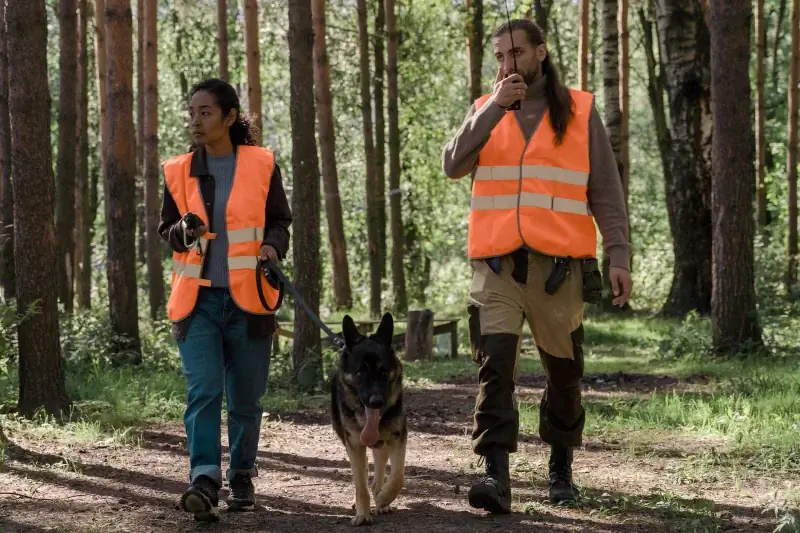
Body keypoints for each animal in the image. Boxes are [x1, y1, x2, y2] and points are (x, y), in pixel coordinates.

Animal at [330, 312, 406, 524]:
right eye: (360, 372)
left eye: (383, 371)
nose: (376, 402)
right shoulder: (355, 445)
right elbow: (360, 485)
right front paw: (363, 514)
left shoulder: (398, 438)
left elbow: (398, 477)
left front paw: (383, 498)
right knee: (364, 474)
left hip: (383, 444)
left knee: (378, 470)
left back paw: (380, 497)